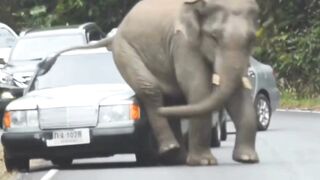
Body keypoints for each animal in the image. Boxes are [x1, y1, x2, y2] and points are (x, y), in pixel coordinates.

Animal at [55, 0, 260, 165]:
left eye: (252, 39)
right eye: (214, 37)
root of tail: (114, 34)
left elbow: (238, 94)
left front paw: (247, 159)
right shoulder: (183, 43)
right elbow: (199, 90)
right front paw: (204, 162)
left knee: (172, 100)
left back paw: (177, 158)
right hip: (126, 51)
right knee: (151, 90)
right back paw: (171, 149)